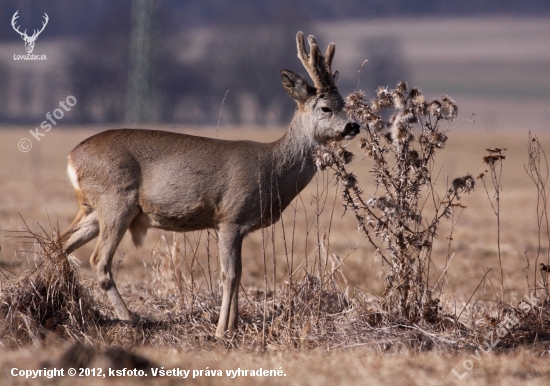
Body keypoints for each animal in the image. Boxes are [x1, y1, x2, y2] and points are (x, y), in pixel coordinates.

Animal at [61, 31, 362, 336]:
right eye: (326, 108)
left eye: (344, 103)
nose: (354, 126)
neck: (272, 169)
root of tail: (72, 157)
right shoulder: (230, 217)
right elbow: (229, 275)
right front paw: (220, 331)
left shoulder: (239, 228)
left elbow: (238, 275)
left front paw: (234, 326)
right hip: (116, 201)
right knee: (99, 260)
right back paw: (131, 318)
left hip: (93, 209)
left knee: (61, 244)